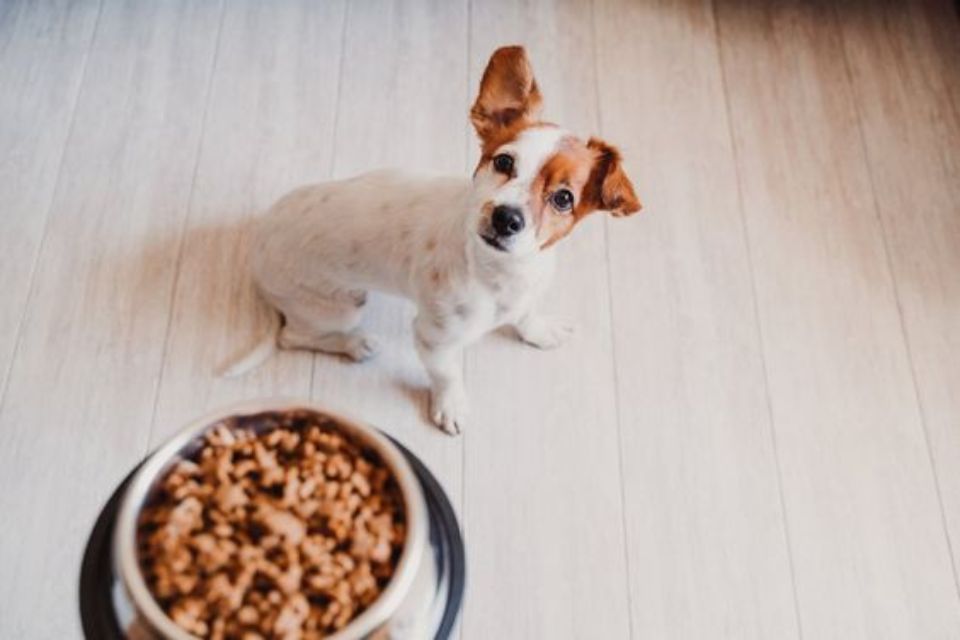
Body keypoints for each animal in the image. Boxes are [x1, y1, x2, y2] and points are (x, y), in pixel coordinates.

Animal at [226, 45, 640, 436]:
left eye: (564, 198)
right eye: (504, 162)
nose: (506, 218)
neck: (501, 274)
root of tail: (258, 244)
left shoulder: (527, 294)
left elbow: (526, 315)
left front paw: (538, 330)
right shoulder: (434, 340)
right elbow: (447, 374)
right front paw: (450, 405)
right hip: (339, 308)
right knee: (293, 336)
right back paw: (354, 344)